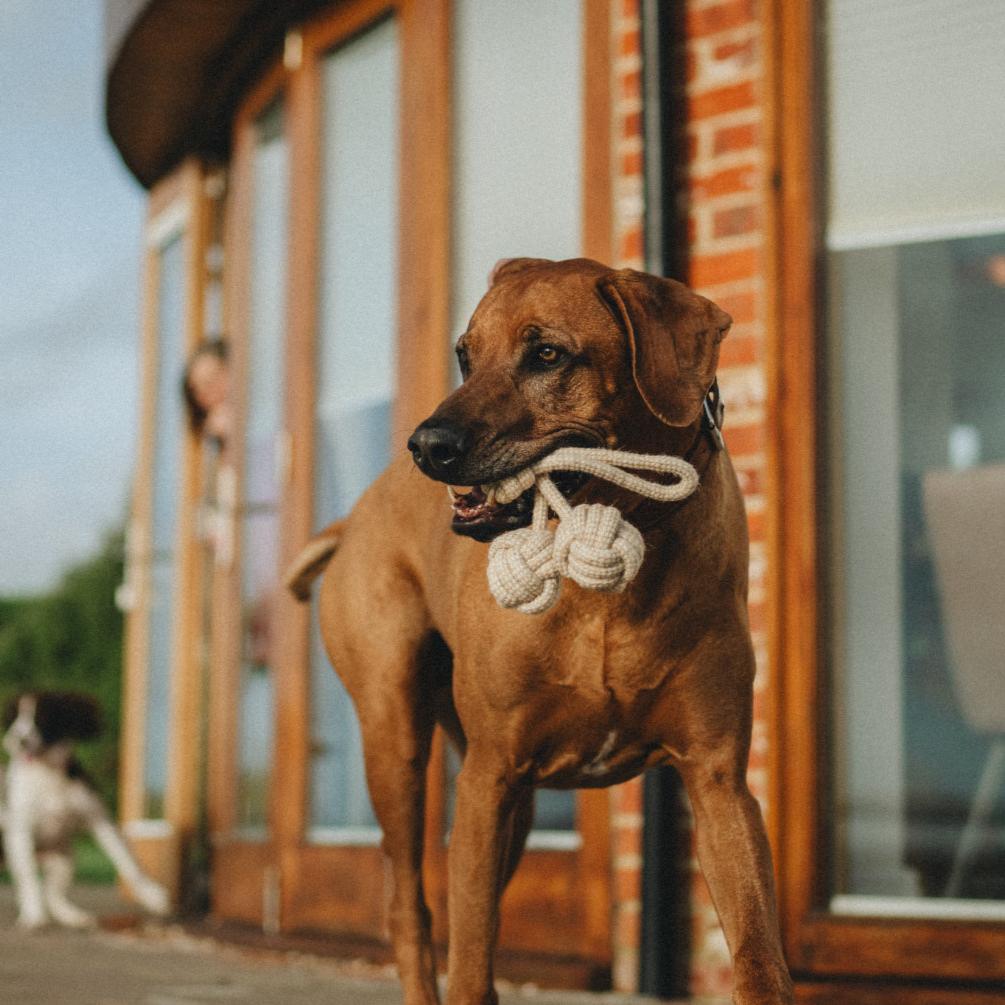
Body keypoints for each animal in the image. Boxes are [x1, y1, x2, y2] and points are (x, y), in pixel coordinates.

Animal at [0, 691, 168, 924]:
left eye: (41, 717)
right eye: (14, 718)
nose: (19, 739)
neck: (47, 772)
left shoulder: (99, 818)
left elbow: (127, 860)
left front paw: (153, 896)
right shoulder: (20, 831)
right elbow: (29, 877)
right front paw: (34, 916)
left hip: (64, 858)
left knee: (55, 892)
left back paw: (72, 916)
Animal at [287, 259, 787, 1005]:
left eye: (547, 354)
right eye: (465, 355)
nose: (426, 445)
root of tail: (355, 514)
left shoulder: (719, 778)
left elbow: (758, 953)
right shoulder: (489, 774)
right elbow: (469, 968)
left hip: (506, 806)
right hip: (397, 737)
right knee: (411, 907)